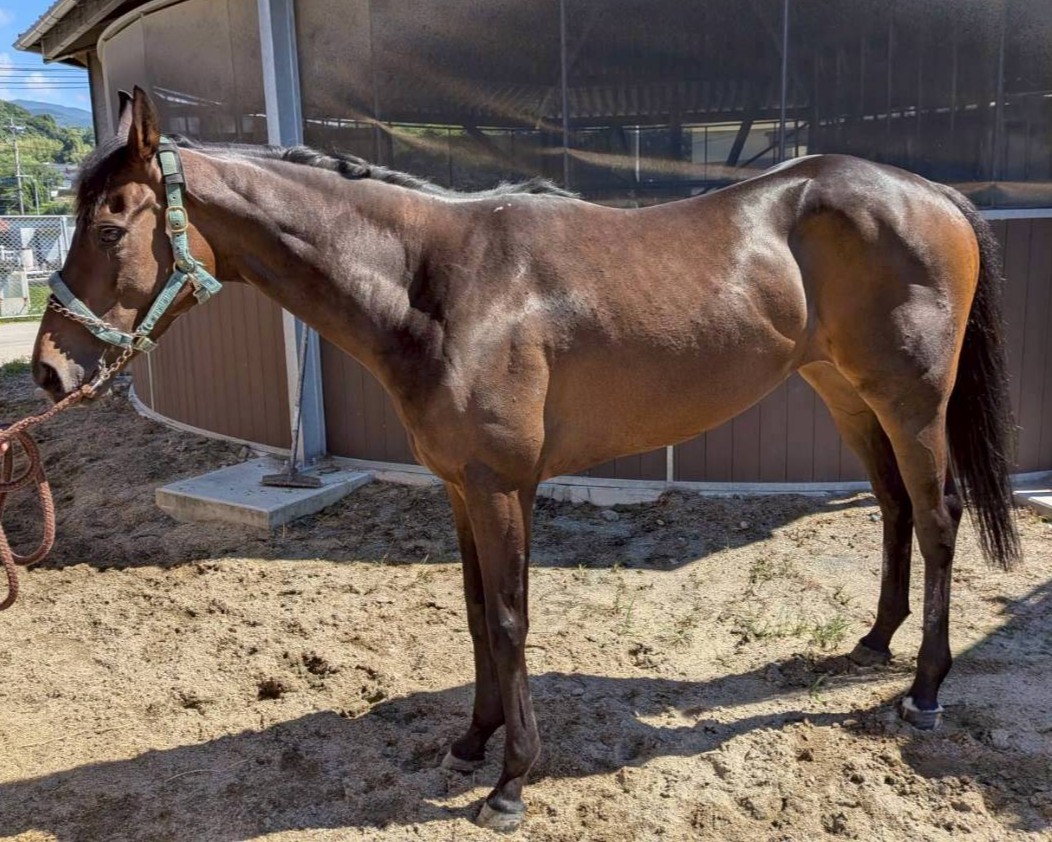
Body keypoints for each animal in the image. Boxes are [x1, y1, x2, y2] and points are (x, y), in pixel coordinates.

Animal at [32, 87, 1019, 831]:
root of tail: (929, 193)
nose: (49, 369)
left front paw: (512, 781)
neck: (435, 283)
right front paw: (469, 745)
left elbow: (509, 621)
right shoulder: (461, 489)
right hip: (844, 391)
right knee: (894, 508)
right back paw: (872, 645)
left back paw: (925, 689)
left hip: (911, 402)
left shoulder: (505, 487)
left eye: (111, 229)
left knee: (937, 518)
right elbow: (476, 620)